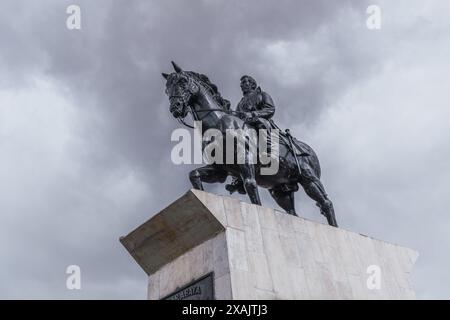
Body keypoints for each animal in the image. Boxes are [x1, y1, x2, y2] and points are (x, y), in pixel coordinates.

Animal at [162, 62, 338, 228]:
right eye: (167, 88)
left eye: (183, 81)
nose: (175, 108)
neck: (218, 123)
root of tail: (310, 150)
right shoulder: (219, 171)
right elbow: (194, 175)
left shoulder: (245, 159)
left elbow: (250, 185)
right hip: (280, 190)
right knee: (292, 212)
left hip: (310, 180)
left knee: (326, 203)